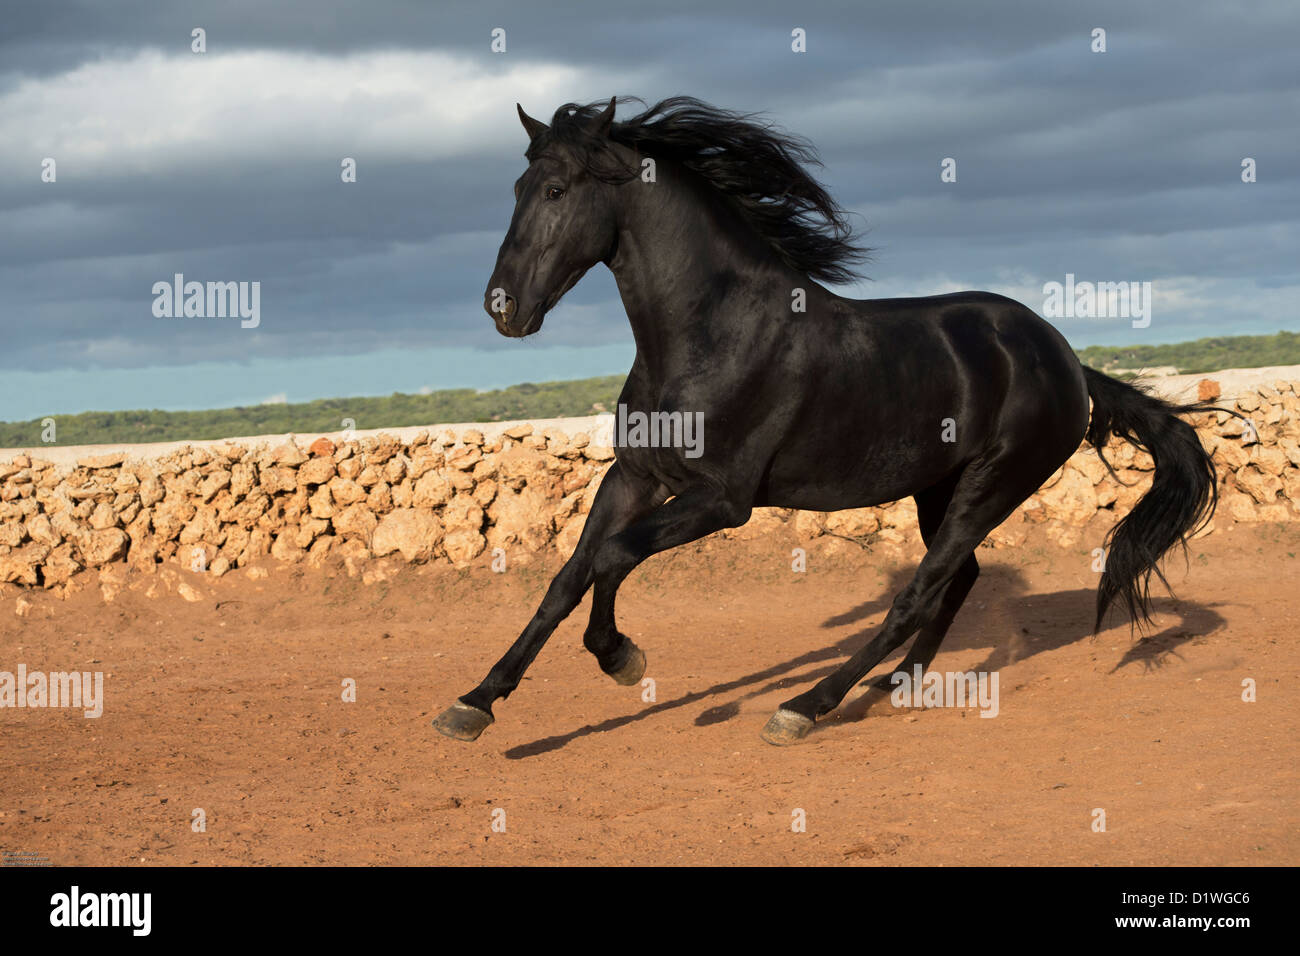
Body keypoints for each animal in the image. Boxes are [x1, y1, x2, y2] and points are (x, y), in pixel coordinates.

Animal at [432, 96, 1223, 746]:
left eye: (557, 190)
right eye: (517, 189)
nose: (502, 307)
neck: (710, 334)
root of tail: (1068, 363)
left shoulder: (721, 500)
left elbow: (613, 557)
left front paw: (623, 658)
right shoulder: (633, 477)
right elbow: (567, 578)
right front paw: (474, 703)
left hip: (993, 485)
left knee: (918, 594)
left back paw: (807, 707)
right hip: (939, 489)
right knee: (955, 581)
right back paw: (895, 687)